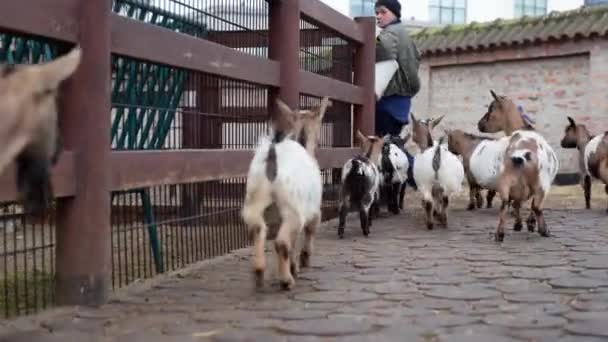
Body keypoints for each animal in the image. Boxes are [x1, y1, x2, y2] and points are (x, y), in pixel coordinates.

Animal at [478, 89, 560, 242]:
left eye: (491, 108)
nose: (479, 124)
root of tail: (521, 152)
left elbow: (516, 203)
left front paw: (519, 224)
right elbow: (531, 205)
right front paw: (529, 223)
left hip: (505, 180)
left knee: (505, 204)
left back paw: (499, 234)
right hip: (542, 183)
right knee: (536, 206)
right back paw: (544, 230)